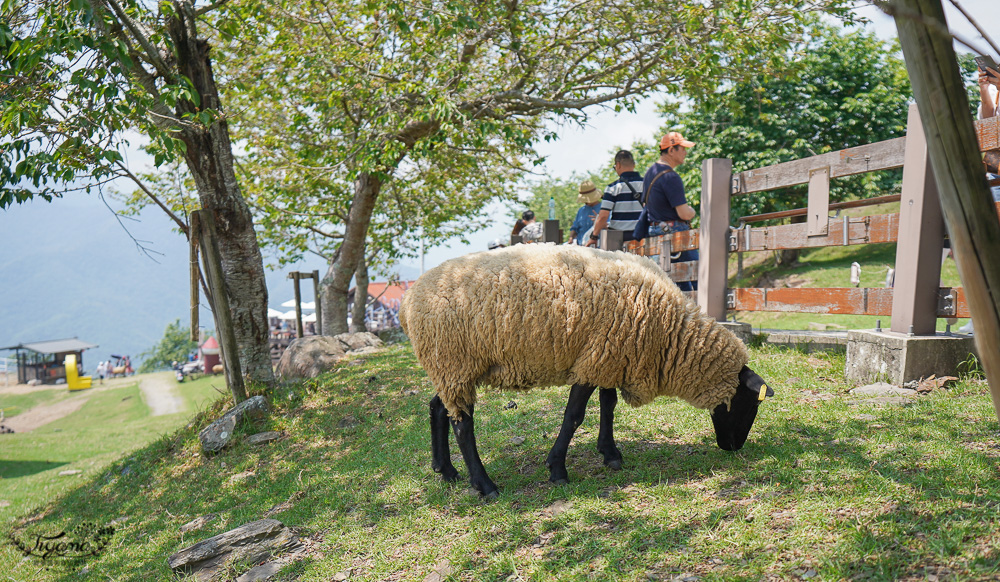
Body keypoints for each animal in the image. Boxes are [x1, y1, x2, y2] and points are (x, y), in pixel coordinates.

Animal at [398, 244, 772, 500]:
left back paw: (445, 470)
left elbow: (608, 406)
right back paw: (485, 485)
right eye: (750, 405)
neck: (670, 335)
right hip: (454, 359)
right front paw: (558, 469)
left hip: (451, 366)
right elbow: (574, 416)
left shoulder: (610, 355)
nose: (733, 448)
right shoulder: (595, 359)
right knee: (463, 424)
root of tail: (409, 298)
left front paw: (610, 454)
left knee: (438, 407)